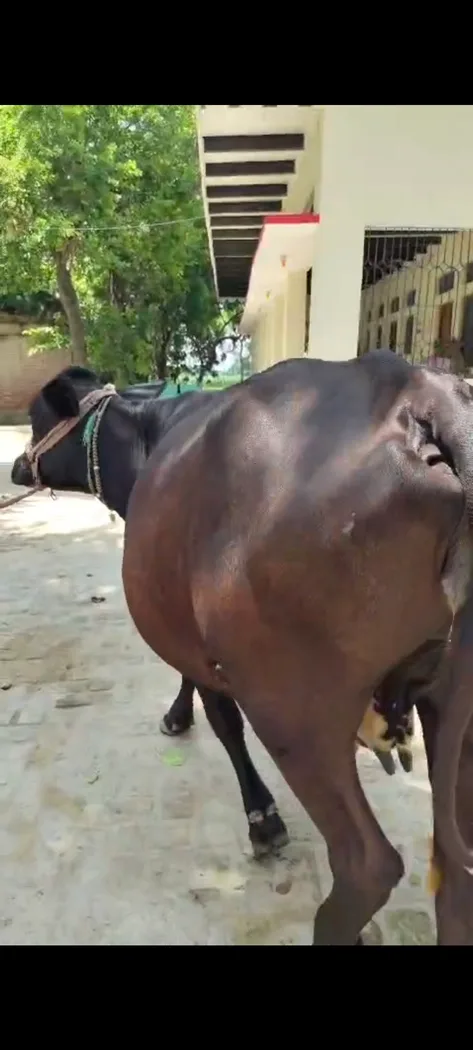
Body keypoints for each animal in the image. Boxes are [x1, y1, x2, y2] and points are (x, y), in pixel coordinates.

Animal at [11, 349, 473, 944]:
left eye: (37, 419)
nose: (17, 467)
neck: (149, 431)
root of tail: (420, 392)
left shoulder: (201, 647)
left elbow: (223, 721)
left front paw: (261, 817)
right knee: (457, 881)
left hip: (292, 707)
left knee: (367, 865)